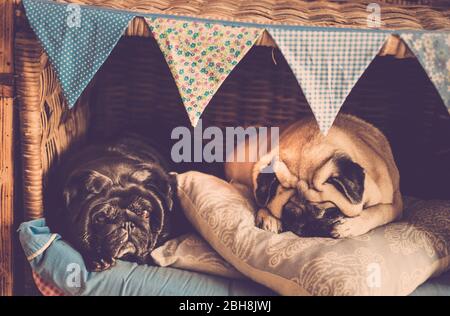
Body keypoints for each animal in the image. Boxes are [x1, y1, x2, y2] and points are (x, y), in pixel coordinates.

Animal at [227, 115, 402, 238]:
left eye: (329, 213)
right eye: (289, 215)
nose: (302, 227)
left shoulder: (396, 204)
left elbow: (379, 211)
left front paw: (350, 226)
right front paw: (269, 217)